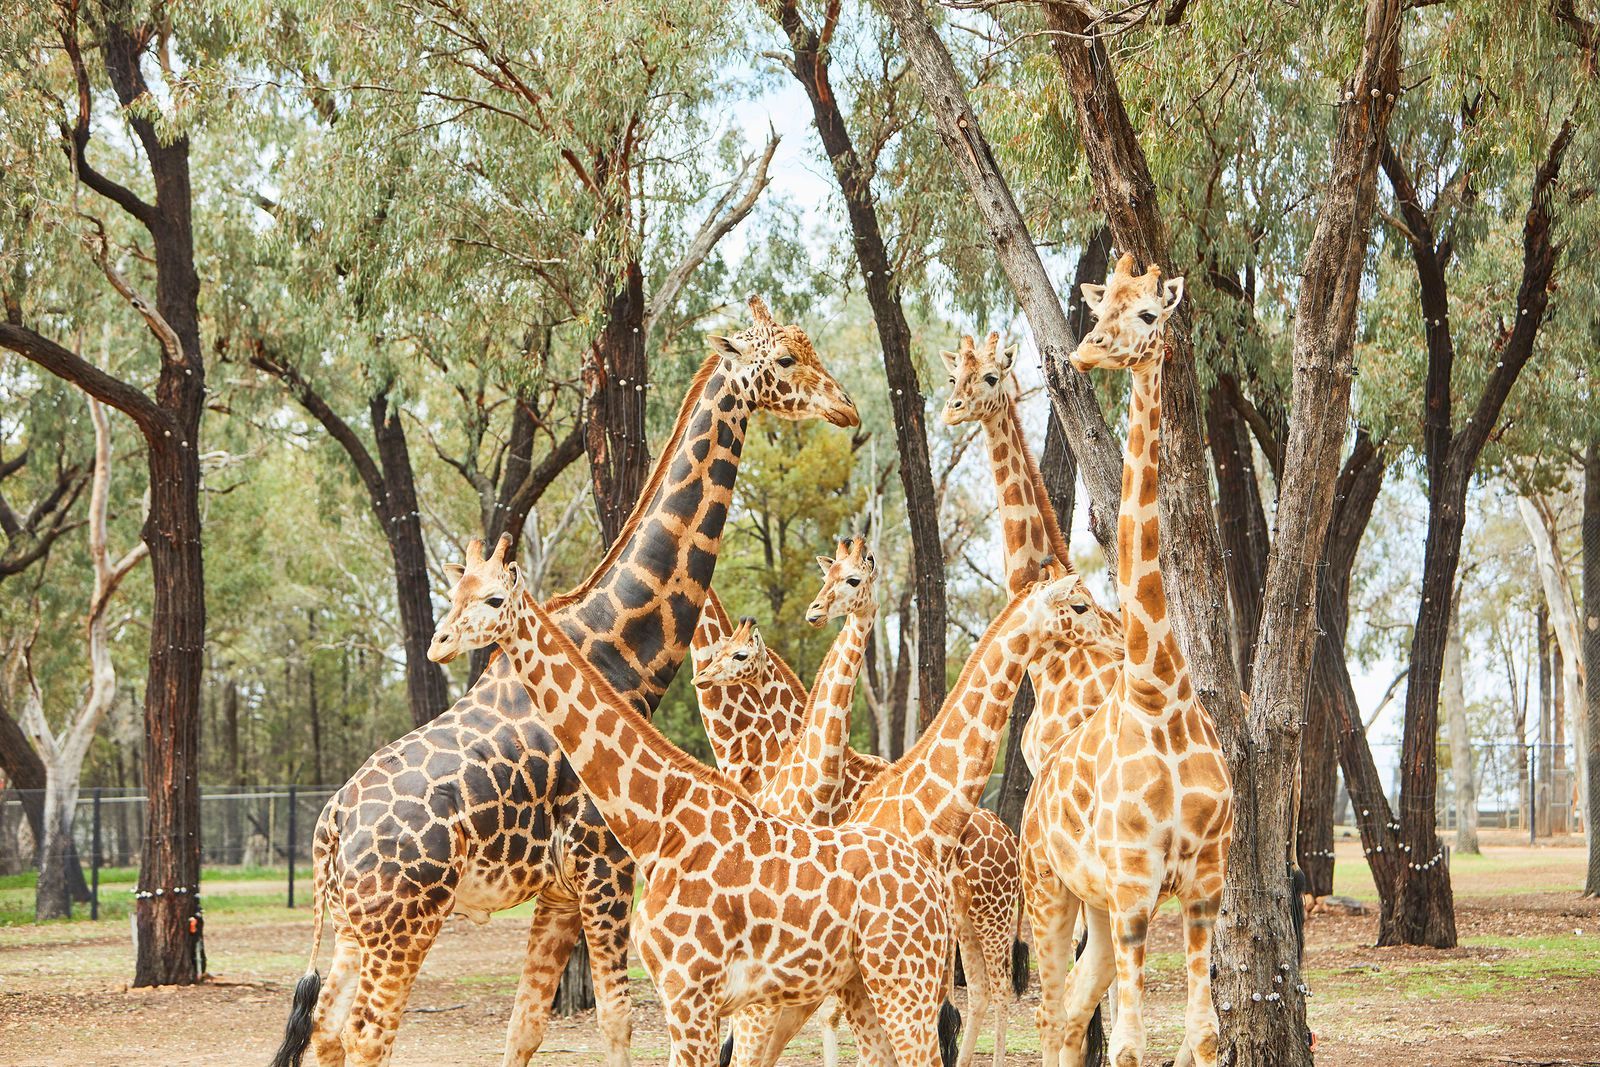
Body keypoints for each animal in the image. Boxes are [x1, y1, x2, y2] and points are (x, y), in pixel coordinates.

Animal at [267, 297, 859, 1067]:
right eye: (786, 359)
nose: (847, 408)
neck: (621, 651)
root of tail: (330, 827)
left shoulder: (558, 889)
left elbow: (525, 1027)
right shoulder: (606, 869)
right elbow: (616, 1021)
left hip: (354, 922)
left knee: (327, 1030)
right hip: (405, 917)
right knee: (365, 1034)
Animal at [428, 536, 958, 1067]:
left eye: (494, 598)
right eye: (455, 593)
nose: (439, 644)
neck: (656, 824)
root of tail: (931, 882)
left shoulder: (694, 992)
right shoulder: (679, 995)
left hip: (906, 980)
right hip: (864, 984)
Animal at [694, 565, 1040, 1067]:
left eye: (736, 653)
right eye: (716, 650)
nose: (701, 677)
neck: (770, 758)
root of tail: (1008, 837)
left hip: (989, 913)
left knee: (1000, 992)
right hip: (963, 919)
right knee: (977, 992)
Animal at [1021, 254, 1233, 1067]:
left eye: (1147, 314)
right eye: (1098, 305)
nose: (1083, 354)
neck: (1157, 693)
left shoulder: (1205, 884)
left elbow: (1202, 1038)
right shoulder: (1138, 887)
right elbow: (1132, 1047)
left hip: (1099, 909)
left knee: (1072, 1014)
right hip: (1051, 890)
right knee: (1052, 1017)